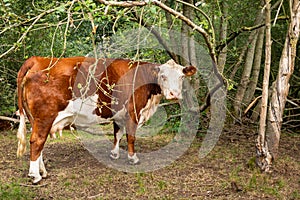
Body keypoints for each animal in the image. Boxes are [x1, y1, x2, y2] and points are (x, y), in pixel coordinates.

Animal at [17, 55, 198, 183]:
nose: (175, 94)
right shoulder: (133, 111)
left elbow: (117, 134)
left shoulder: (119, 115)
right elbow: (131, 136)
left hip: (36, 119)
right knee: (37, 141)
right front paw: (133, 158)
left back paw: (43, 171)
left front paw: (114, 154)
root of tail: (38, 59)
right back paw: (35, 175)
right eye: (163, 76)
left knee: (38, 143)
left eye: (182, 77)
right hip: (45, 116)